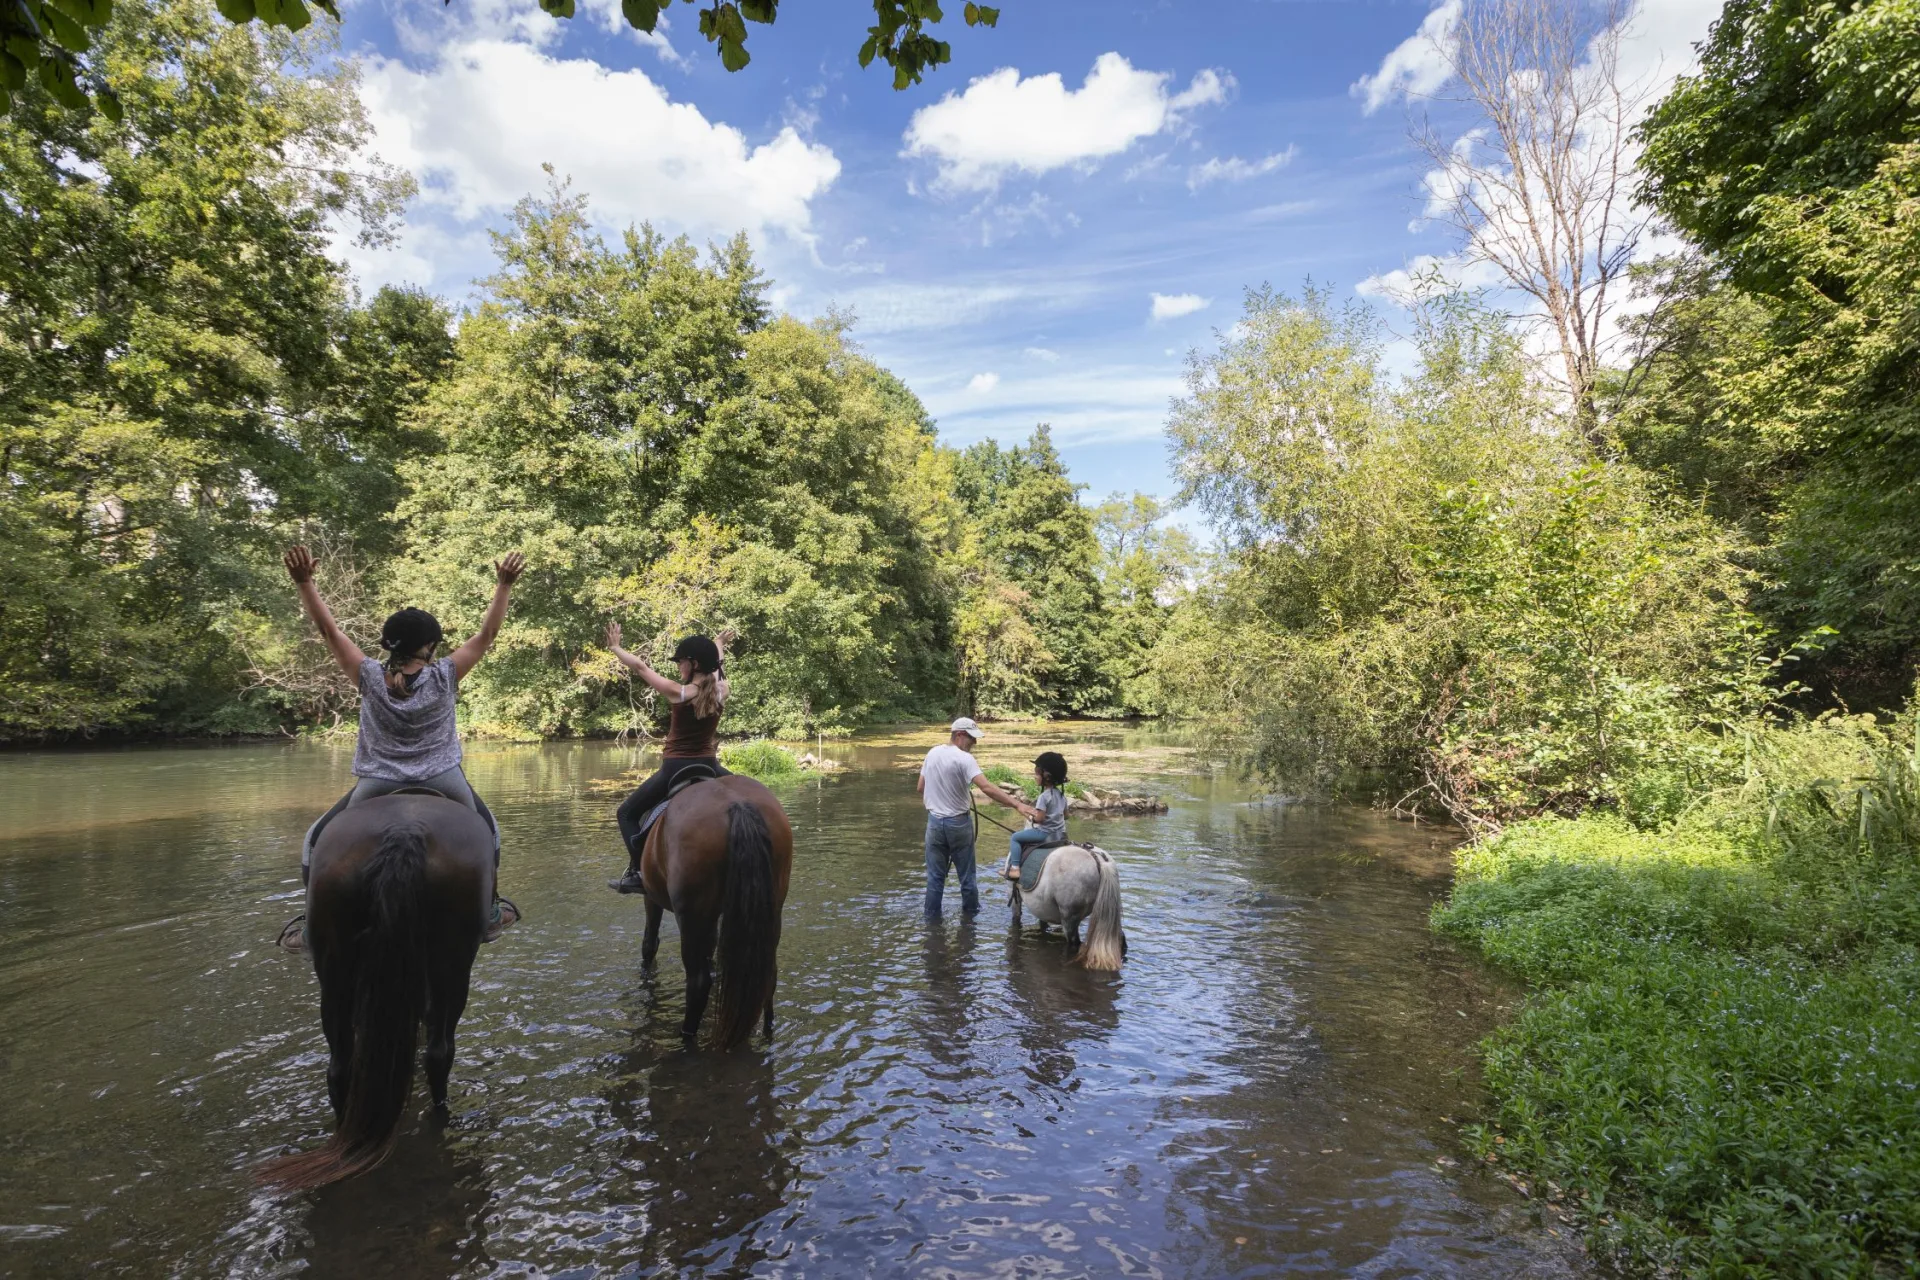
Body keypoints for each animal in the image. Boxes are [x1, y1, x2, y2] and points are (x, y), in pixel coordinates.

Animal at [637, 775, 787, 1043]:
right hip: (772, 910)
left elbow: (649, 943)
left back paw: (686, 1037)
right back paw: (768, 1027)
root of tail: (738, 804)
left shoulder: (650, 896)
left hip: (691, 917)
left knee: (697, 983)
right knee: (768, 972)